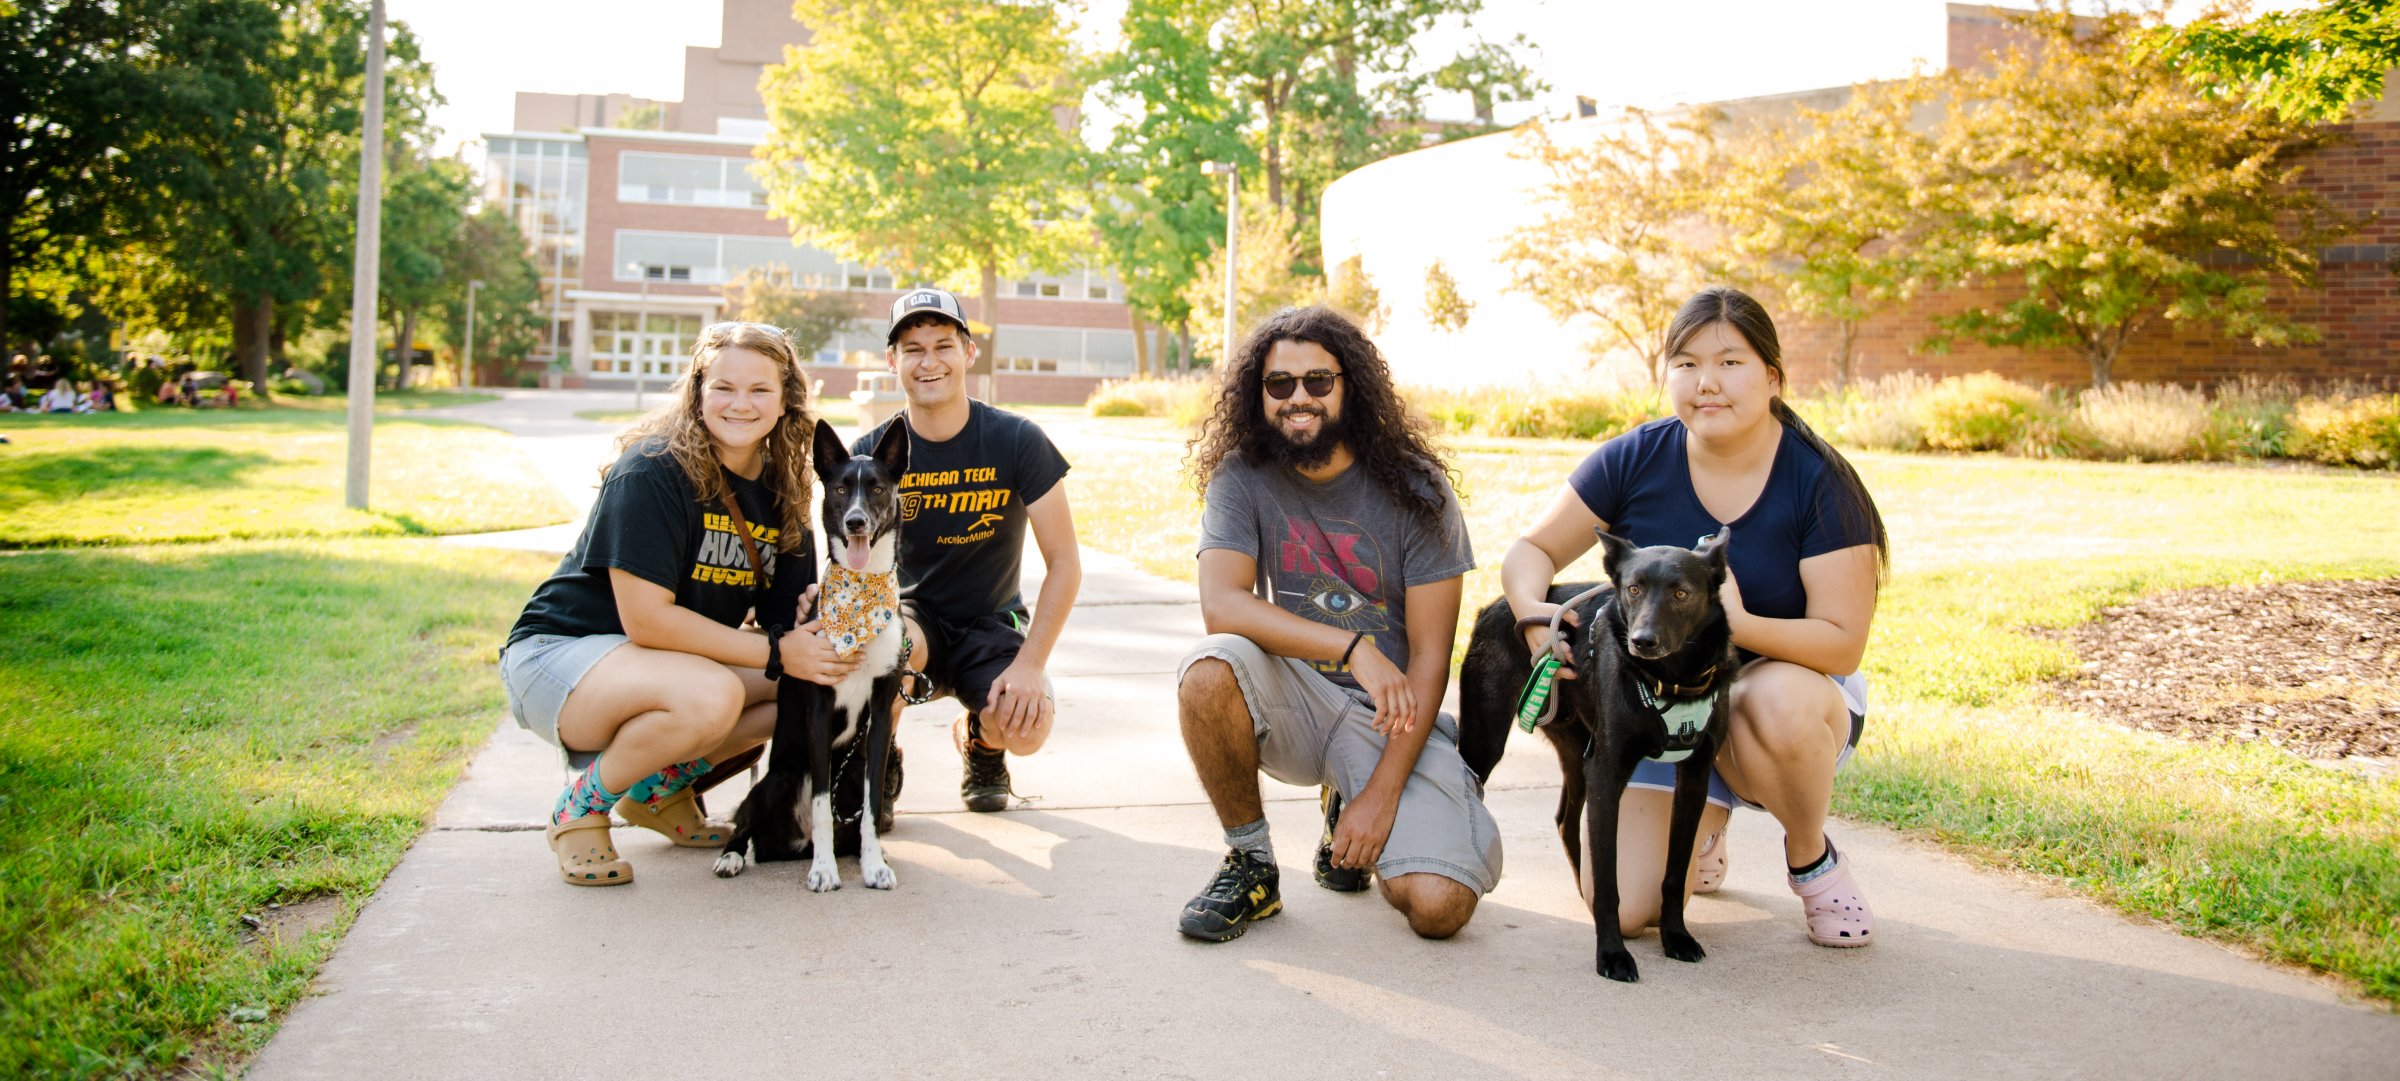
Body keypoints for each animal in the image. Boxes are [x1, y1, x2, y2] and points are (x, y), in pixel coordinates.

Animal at [710, 417, 907, 888]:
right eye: (839, 489)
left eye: (877, 488)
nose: (855, 522)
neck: (861, 597)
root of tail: (789, 845)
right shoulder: (818, 708)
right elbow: (819, 802)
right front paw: (823, 871)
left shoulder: (880, 712)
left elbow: (872, 807)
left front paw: (874, 865)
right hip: (775, 779)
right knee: (746, 825)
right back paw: (733, 857)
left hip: (847, 777)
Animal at [1449, 528, 1737, 984]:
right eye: (1633, 589)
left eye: (1682, 593)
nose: (1642, 641)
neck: (1667, 681)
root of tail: (1494, 605)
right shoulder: (1607, 772)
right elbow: (1609, 879)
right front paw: (1613, 954)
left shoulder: (1694, 775)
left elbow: (1674, 871)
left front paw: (1676, 936)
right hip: (1488, 740)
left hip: (1576, 750)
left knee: (1566, 818)